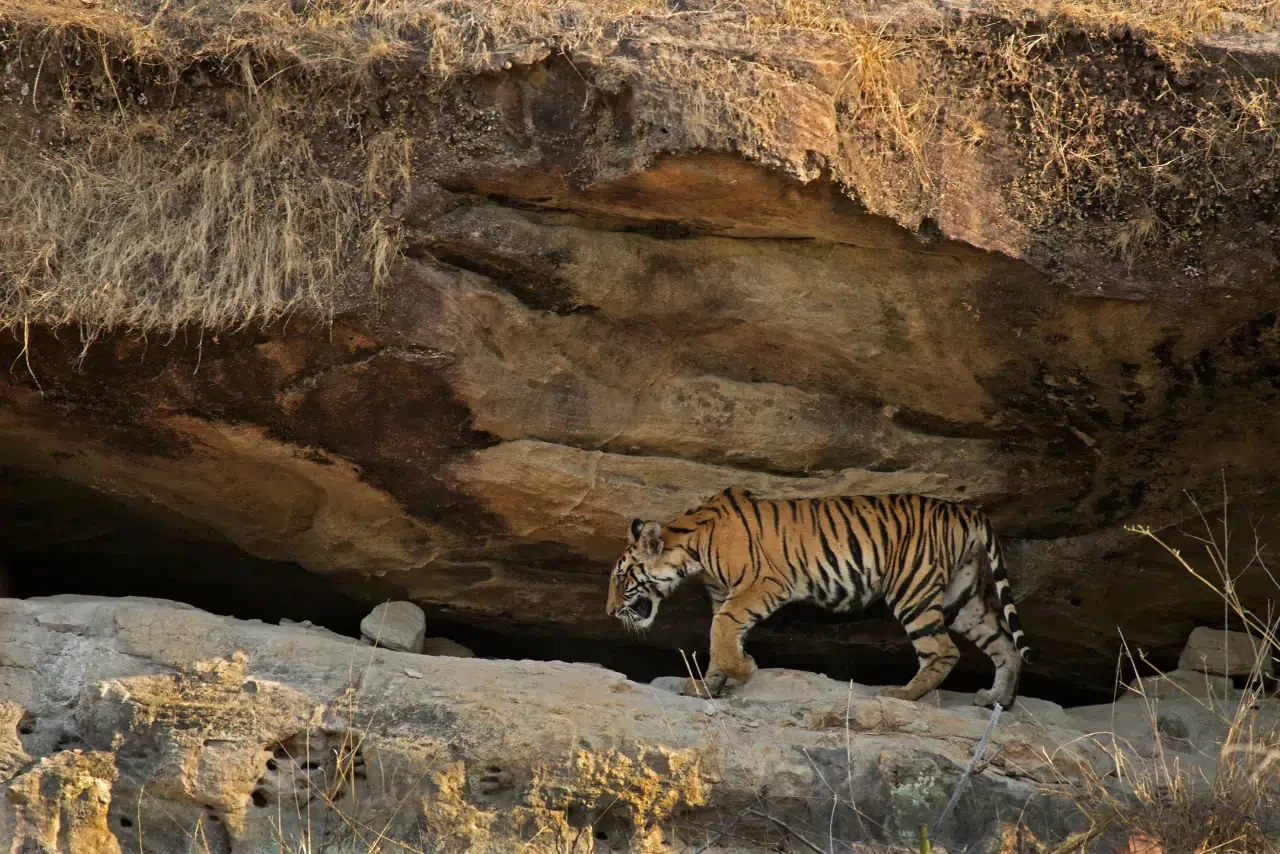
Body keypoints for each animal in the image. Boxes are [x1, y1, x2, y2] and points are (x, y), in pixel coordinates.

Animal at [605, 487, 1038, 707]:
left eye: (621, 578)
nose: (608, 612)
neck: (691, 551)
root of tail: (969, 512)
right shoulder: (723, 593)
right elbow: (717, 639)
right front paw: (706, 687)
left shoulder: (762, 583)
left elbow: (722, 630)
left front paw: (744, 669)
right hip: (960, 597)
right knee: (1004, 643)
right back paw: (997, 699)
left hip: (912, 588)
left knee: (943, 651)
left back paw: (902, 693)